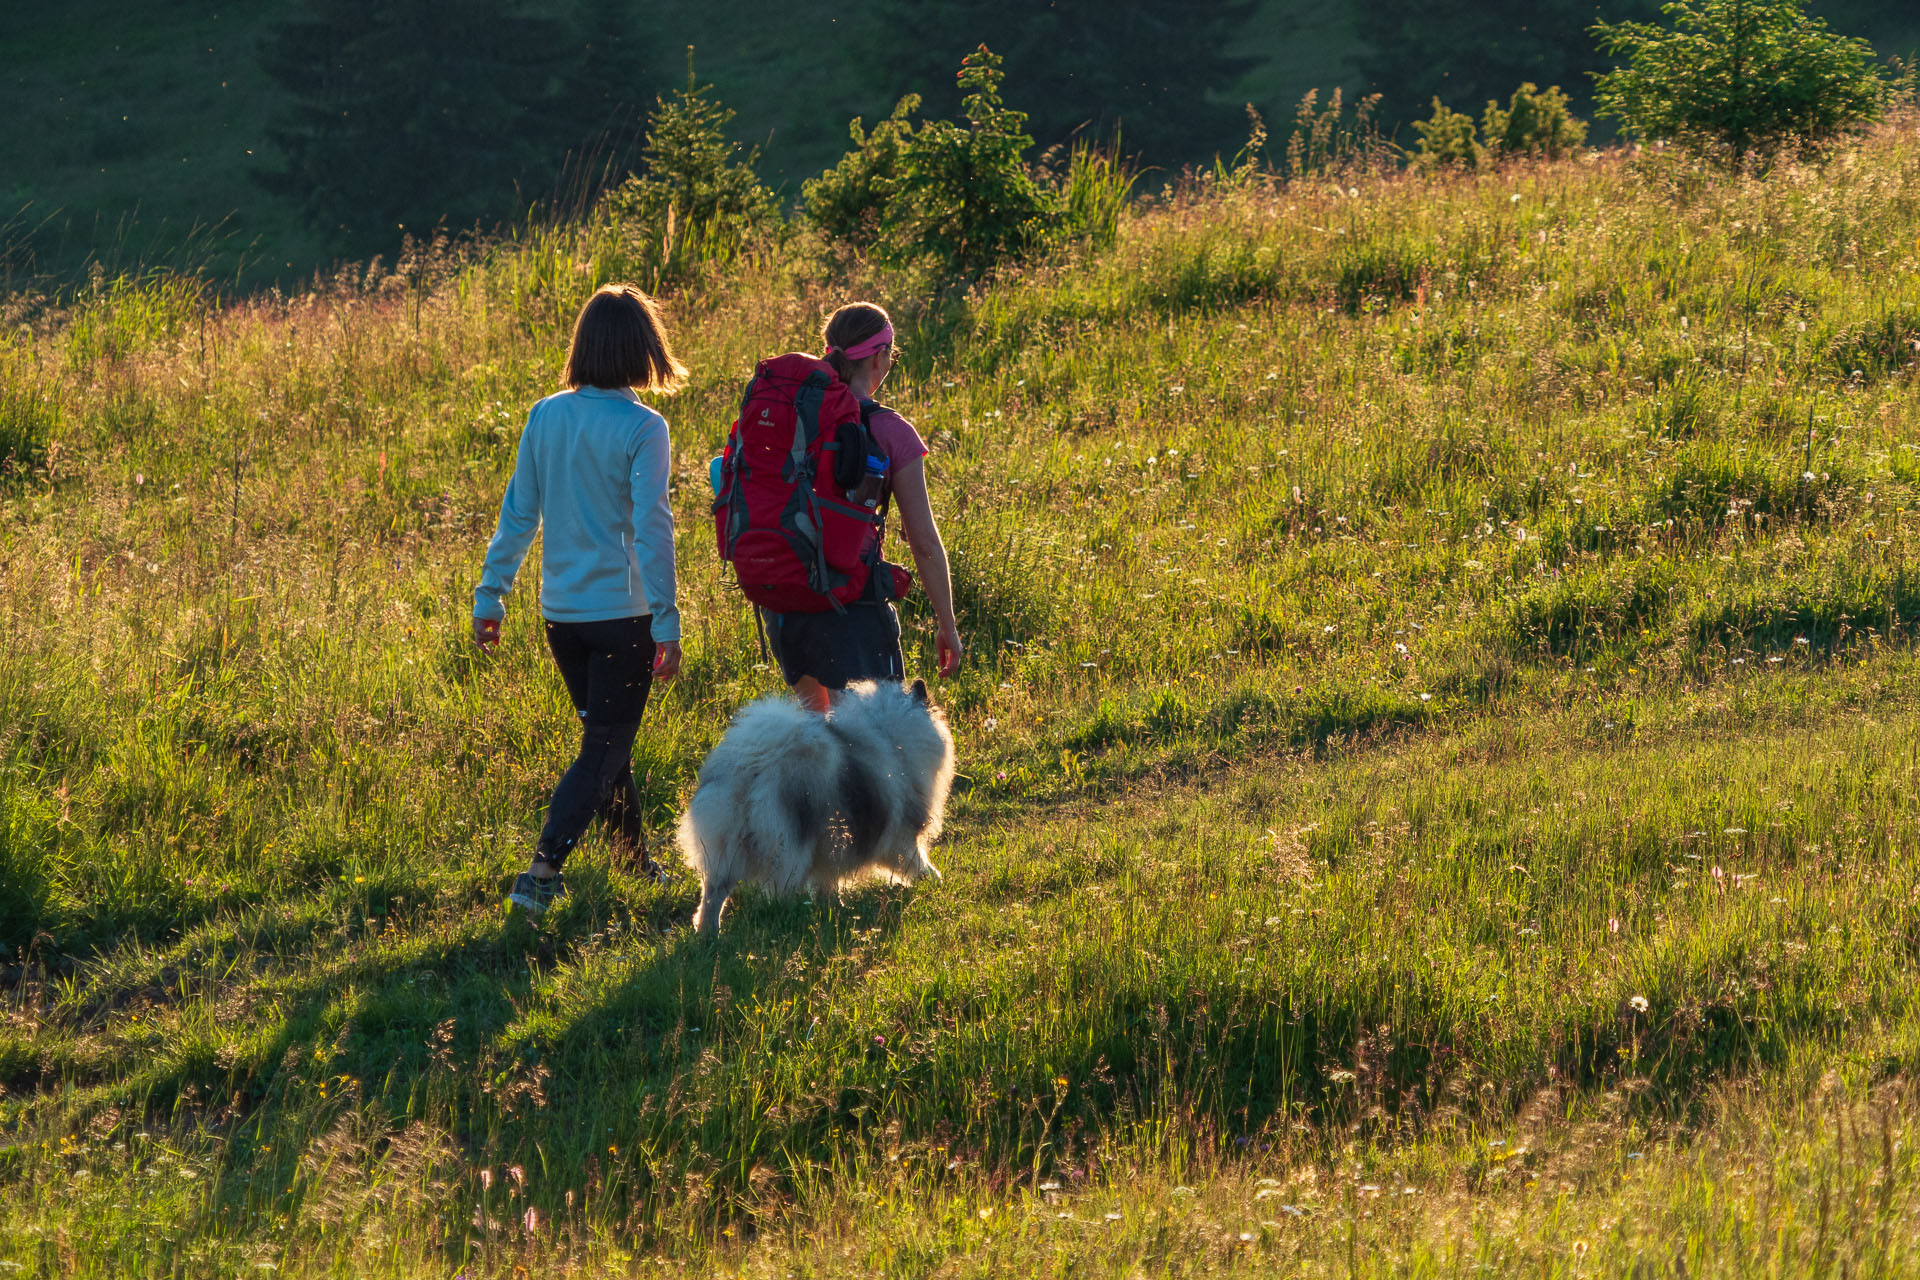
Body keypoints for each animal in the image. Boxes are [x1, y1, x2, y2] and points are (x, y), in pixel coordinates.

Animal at [679, 675, 956, 936]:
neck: (890, 737)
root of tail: (752, 767)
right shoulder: (899, 836)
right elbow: (918, 861)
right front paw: (935, 881)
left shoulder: (832, 845)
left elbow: (827, 880)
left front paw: (833, 905)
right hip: (788, 851)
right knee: (776, 896)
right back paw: (789, 923)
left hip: (726, 848)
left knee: (713, 894)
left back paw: (708, 932)